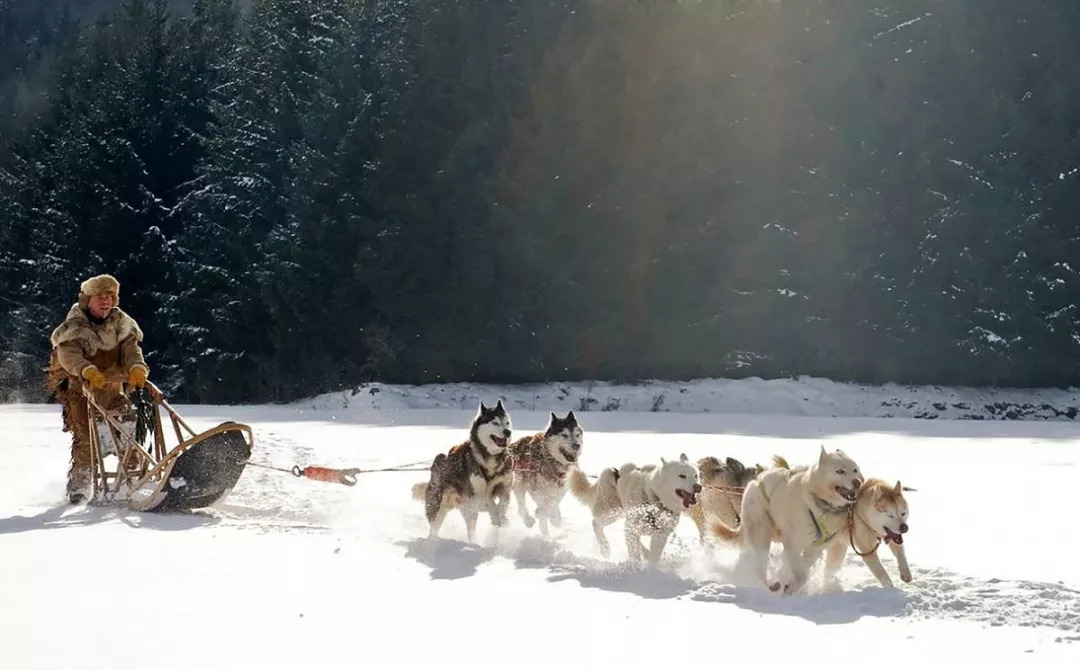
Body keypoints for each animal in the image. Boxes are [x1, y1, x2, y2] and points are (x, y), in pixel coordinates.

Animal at [412, 399, 514, 542]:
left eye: (507, 422)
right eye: (495, 423)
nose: (507, 432)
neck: (489, 459)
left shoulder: (504, 487)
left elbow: (504, 502)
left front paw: (501, 518)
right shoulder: (474, 496)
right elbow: (490, 502)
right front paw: (497, 516)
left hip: (468, 512)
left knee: (471, 530)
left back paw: (474, 543)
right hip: (437, 508)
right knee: (433, 529)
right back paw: (432, 542)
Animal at [570, 451, 704, 566]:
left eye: (696, 475)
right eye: (682, 476)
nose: (698, 487)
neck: (654, 499)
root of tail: (614, 471)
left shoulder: (660, 536)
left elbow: (653, 558)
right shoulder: (633, 527)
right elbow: (635, 555)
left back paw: (645, 553)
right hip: (611, 512)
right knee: (596, 523)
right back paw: (605, 548)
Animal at [708, 447, 868, 592]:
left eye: (855, 470)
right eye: (840, 471)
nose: (857, 482)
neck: (821, 504)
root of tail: (755, 481)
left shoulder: (816, 547)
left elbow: (803, 568)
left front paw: (790, 583)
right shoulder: (792, 544)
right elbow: (802, 575)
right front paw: (790, 588)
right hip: (761, 535)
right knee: (759, 567)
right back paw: (766, 586)